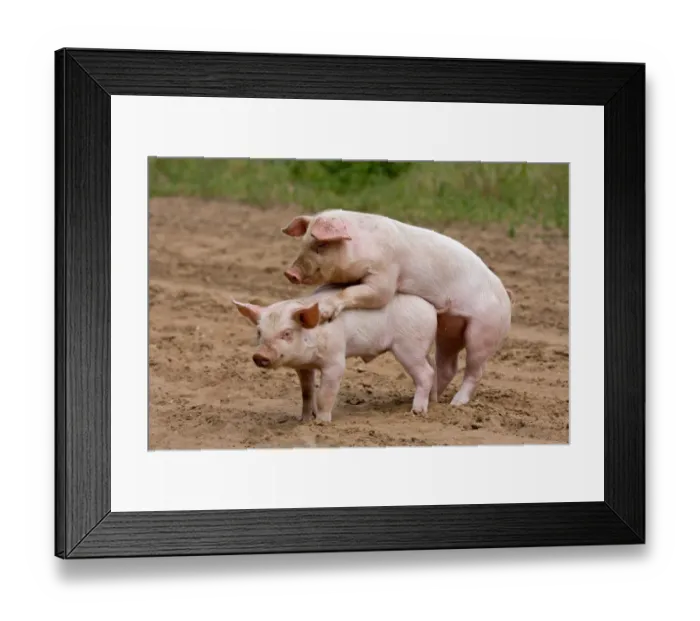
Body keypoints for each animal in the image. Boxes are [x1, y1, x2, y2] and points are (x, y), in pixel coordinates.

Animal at [232, 285, 439, 422]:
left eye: (287, 333)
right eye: (259, 332)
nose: (260, 356)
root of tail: (431, 308)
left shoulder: (335, 360)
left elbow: (325, 393)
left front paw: (321, 422)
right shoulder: (303, 367)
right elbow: (307, 392)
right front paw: (304, 420)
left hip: (409, 346)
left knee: (426, 373)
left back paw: (416, 412)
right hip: (421, 348)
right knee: (433, 368)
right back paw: (433, 402)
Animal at [281, 209, 512, 407]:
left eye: (320, 246)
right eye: (303, 244)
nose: (290, 273)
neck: (360, 244)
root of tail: (507, 298)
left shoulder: (384, 277)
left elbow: (371, 294)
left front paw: (325, 313)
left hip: (484, 332)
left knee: (475, 369)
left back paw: (456, 403)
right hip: (449, 330)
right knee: (448, 366)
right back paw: (432, 400)